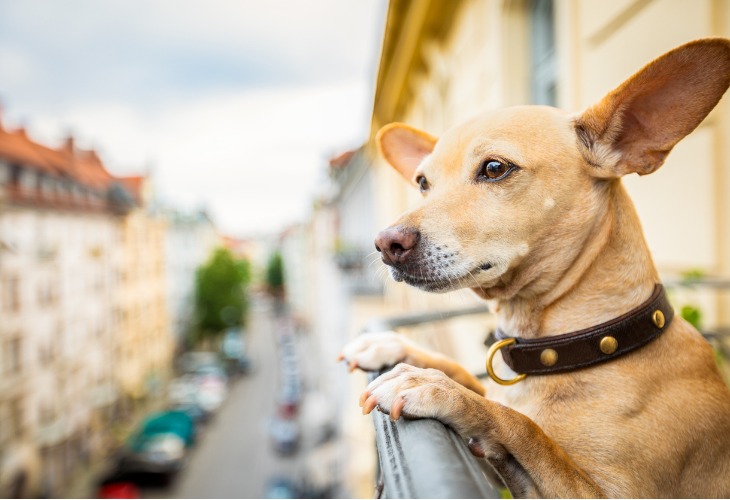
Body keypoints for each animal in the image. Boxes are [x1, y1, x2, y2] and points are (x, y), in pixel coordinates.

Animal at [340, 37, 728, 498]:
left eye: (494, 168)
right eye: (422, 183)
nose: (386, 244)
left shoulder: (598, 491)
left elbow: (526, 428)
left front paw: (438, 389)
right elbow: (472, 378)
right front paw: (400, 349)